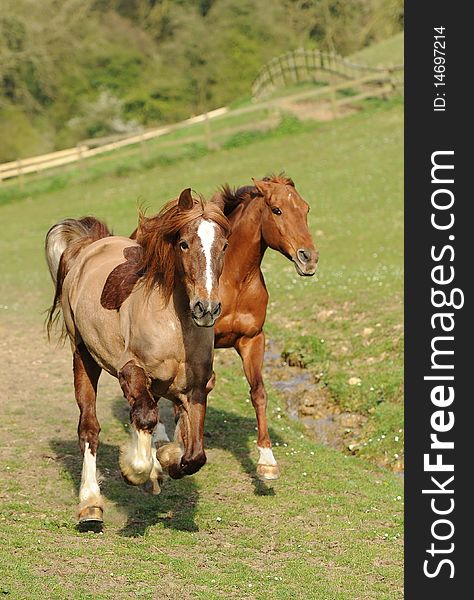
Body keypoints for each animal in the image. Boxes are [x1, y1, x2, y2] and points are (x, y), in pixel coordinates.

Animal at [45, 190, 231, 528]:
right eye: (184, 243)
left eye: (223, 245)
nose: (206, 309)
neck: (174, 326)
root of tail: (89, 245)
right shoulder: (131, 371)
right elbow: (144, 418)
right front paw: (134, 469)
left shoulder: (195, 389)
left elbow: (194, 455)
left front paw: (167, 460)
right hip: (83, 357)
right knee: (89, 429)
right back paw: (90, 505)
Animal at [212, 173, 318, 478]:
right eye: (277, 210)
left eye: (306, 209)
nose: (309, 258)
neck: (233, 280)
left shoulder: (252, 340)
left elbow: (258, 393)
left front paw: (267, 461)